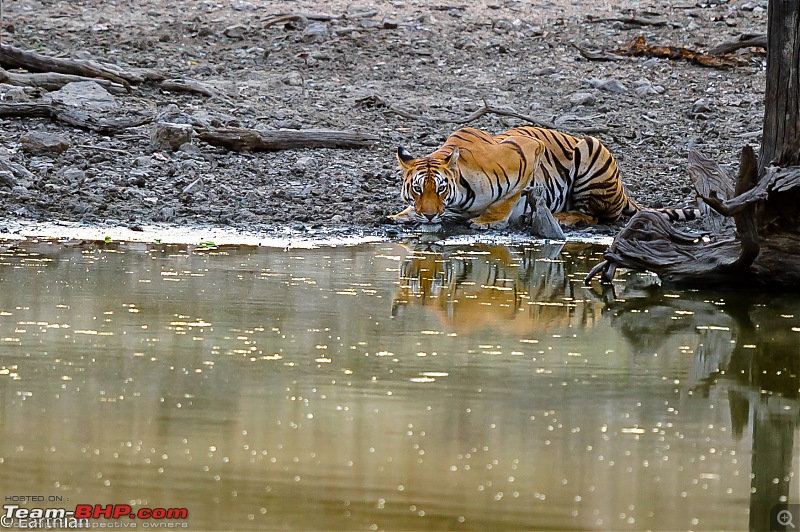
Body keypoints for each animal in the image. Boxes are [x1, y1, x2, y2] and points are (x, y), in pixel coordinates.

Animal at [388, 127, 692, 231]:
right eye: (417, 190)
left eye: (441, 189)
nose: (429, 216)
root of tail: (623, 191)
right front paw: (401, 215)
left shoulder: (528, 152)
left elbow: (507, 198)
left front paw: (488, 221)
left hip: (591, 149)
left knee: (597, 216)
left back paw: (562, 218)